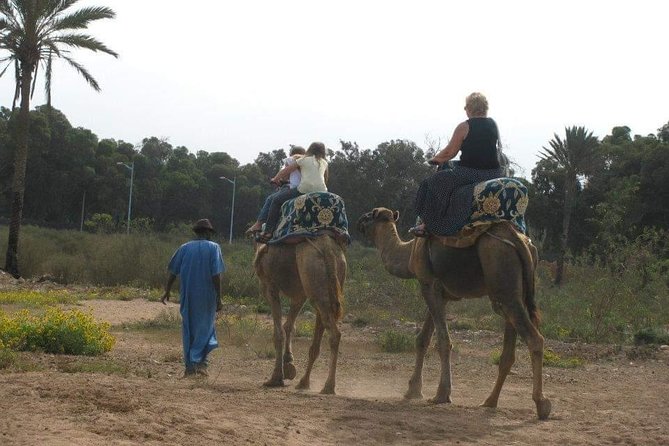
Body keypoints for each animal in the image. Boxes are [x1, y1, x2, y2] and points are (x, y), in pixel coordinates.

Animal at [253, 235, 347, 394]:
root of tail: (328, 249)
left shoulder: (269, 285)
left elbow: (278, 332)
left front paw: (276, 378)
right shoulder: (300, 293)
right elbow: (288, 326)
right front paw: (289, 363)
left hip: (314, 282)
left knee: (334, 333)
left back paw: (328, 386)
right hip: (329, 283)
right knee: (321, 333)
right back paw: (304, 382)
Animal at [357, 207, 551, 420]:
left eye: (369, 215)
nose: (359, 221)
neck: (408, 254)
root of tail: (520, 241)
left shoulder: (428, 284)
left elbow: (443, 340)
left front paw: (441, 394)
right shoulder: (440, 293)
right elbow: (422, 339)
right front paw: (413, 390)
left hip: (503, 277)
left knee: (534, 338)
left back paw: (542, 404)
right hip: (513, 292)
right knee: (509, 350)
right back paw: (490, 401)